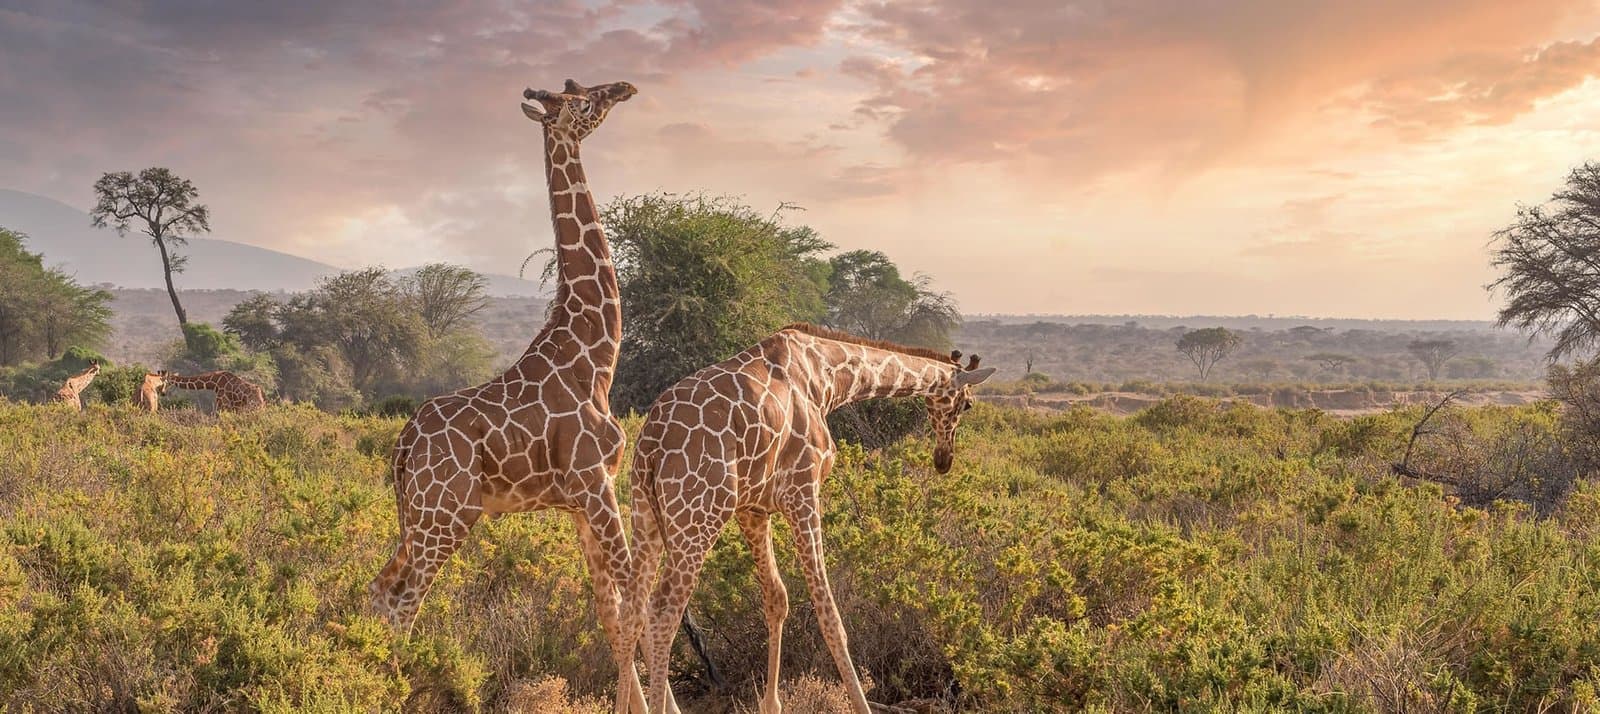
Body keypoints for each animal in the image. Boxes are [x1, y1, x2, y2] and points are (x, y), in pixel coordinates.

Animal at [366, 79, 645, 714]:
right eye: (584, 99)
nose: (624, 88)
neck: (595, 357)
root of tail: (402, 447)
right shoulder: (596, 484)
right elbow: (636, 595)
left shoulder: (580, 502)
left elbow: (611, 613)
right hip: (447, 516)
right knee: (403, 600)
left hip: (417, 516)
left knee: (380, 588)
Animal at [621, 324, 996, 714]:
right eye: (967, 404)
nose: (943, 460)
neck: (827, 377)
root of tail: (651, 442)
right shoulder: (803, 489)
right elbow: (828, 612)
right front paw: (860, 704)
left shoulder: (753, 509)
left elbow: (776, 599)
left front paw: (771, 704)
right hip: (698, 514)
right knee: (662, 612)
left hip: (645, 513)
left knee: (630, 610)